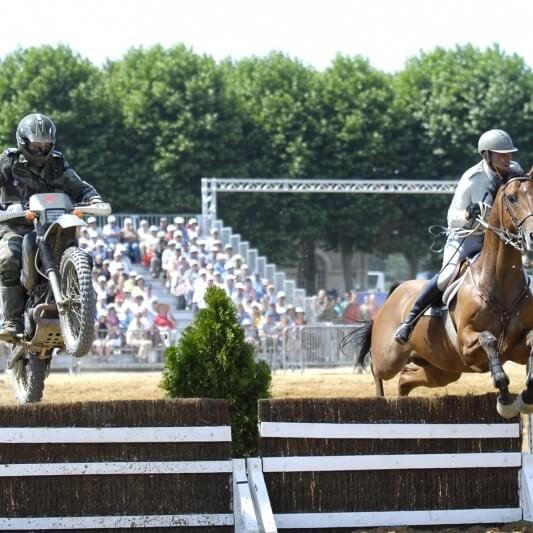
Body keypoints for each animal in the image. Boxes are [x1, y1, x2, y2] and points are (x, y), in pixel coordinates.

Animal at [354, 177, 533, 418]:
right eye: (512, 198)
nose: (532, 235)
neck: (498, 281)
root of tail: (393, 295)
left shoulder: (515, 348)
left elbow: (529, 342)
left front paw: (526, 396)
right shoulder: (466, 345)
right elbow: (489, 339)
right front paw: (505, 400)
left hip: (441, 369)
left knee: (405, 379)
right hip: (389, 358)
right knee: (377, 370)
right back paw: (380, 396)